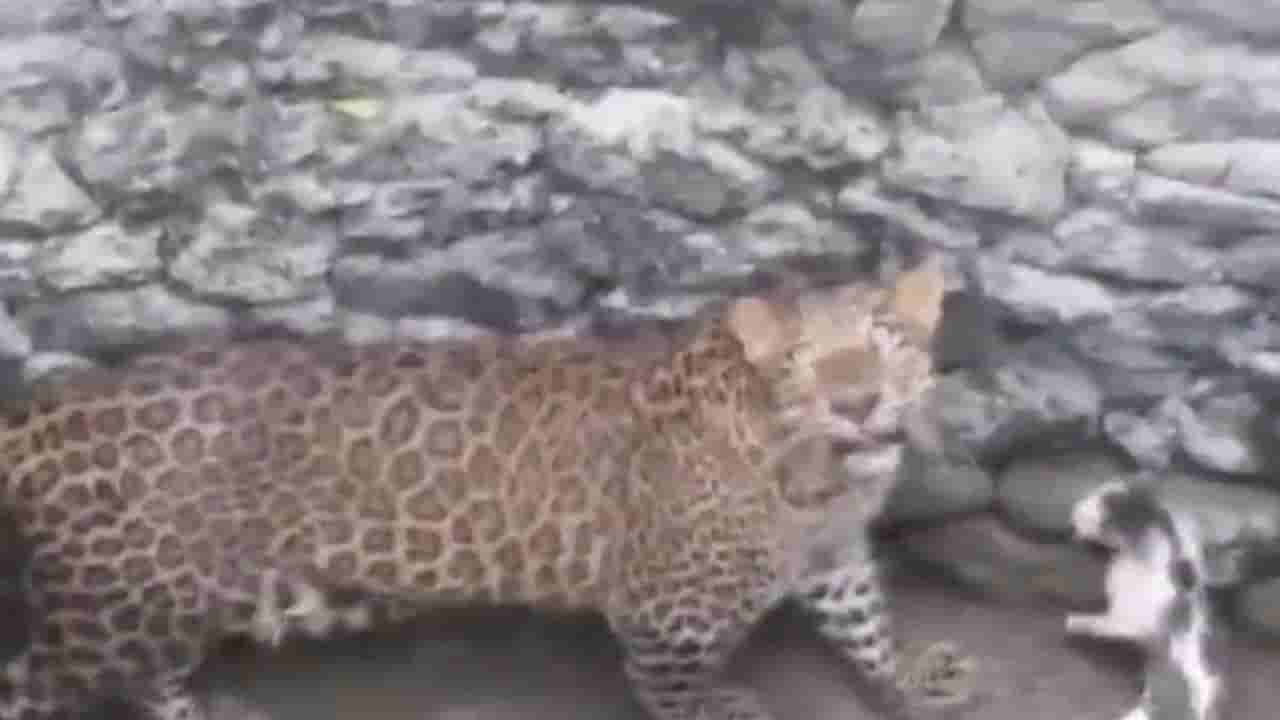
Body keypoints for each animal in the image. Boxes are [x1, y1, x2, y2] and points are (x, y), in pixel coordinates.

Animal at [0, 254, 976, 720]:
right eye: (805, 362)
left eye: (886, 340)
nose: (858, 401)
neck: (818, 478)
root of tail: (39, 407)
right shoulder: (667, 614)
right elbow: (670, 689)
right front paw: (726, 708)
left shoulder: (834, 555)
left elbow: (864, 622)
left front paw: (910, 676)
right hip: (111, 614)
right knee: (33, 681)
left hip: (162, 605)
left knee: (151, 678)